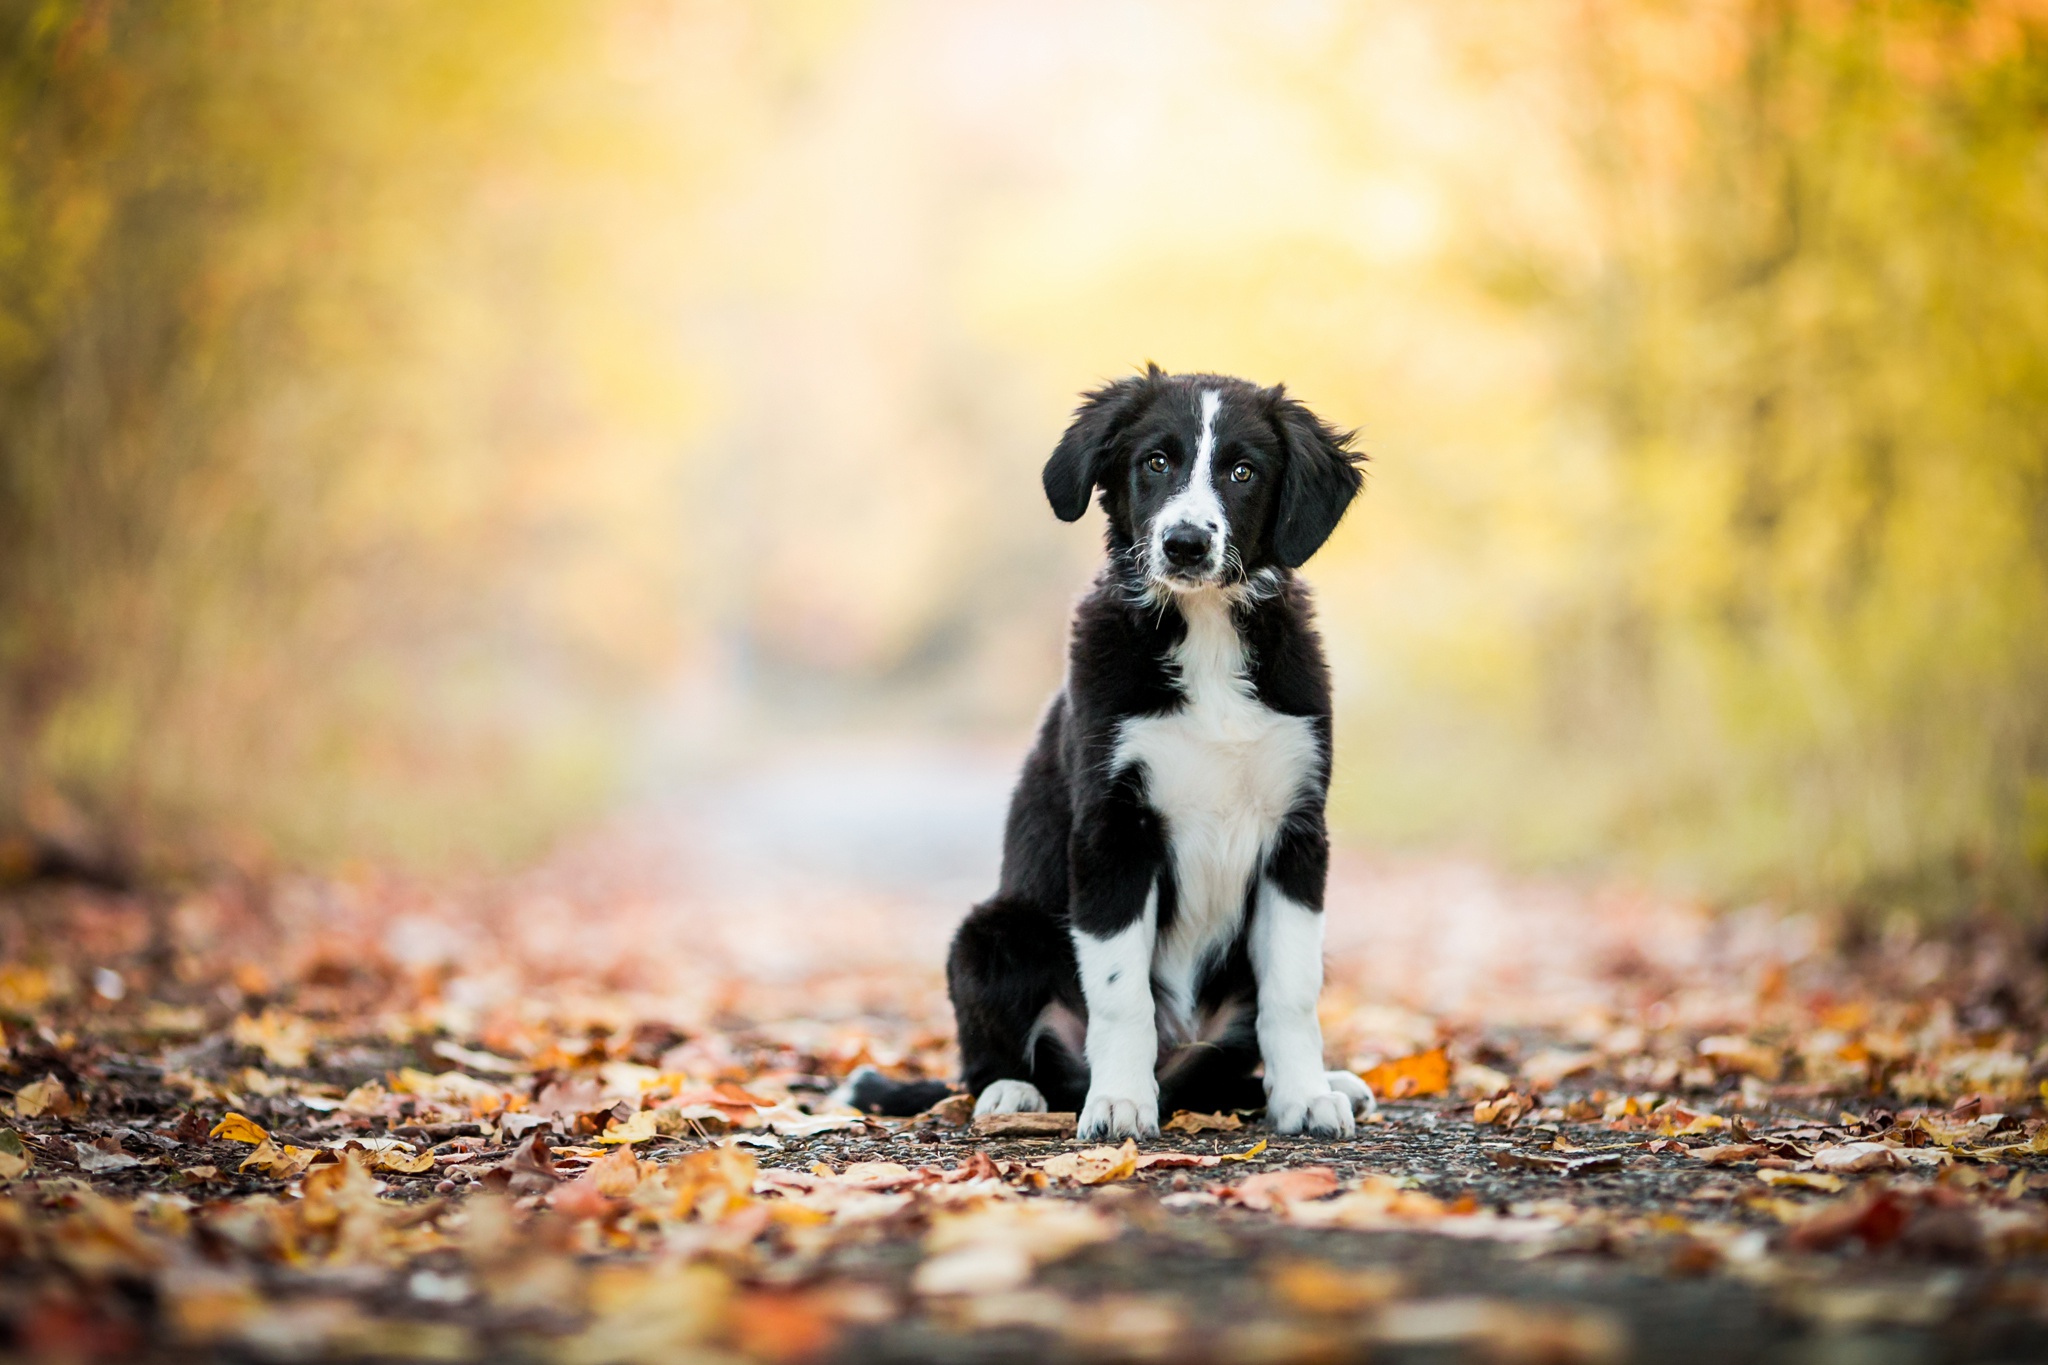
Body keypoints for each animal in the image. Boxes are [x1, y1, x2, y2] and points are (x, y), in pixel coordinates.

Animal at [856, 368, 1368, 1137]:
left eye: (1243, 471)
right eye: (1154, 462)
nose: (1184, 544)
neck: (1206, 635)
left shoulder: (1298, 834)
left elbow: (1292, 990)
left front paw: (1305, 1096)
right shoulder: (1112, 830)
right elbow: (1122, 994)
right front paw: (1121, 1102)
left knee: (1227, 1068)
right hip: (990, 932)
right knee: (1002, 1062)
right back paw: (1014, 1094)